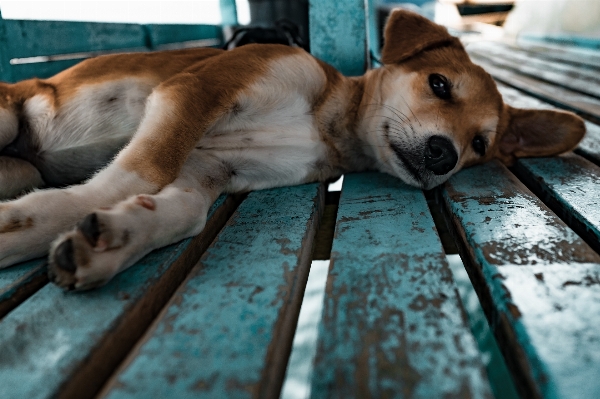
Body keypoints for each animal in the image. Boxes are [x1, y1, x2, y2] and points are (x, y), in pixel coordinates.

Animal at [0, 10, 584, 290]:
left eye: (479, 143)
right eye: (439, 84)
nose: (445, 155)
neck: (326, 124)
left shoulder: (212, 168)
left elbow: (182, 212)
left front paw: (116, 238)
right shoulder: (195, 91)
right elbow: (141, 170)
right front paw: (48, 218)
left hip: (19, 166)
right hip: (8, 116)